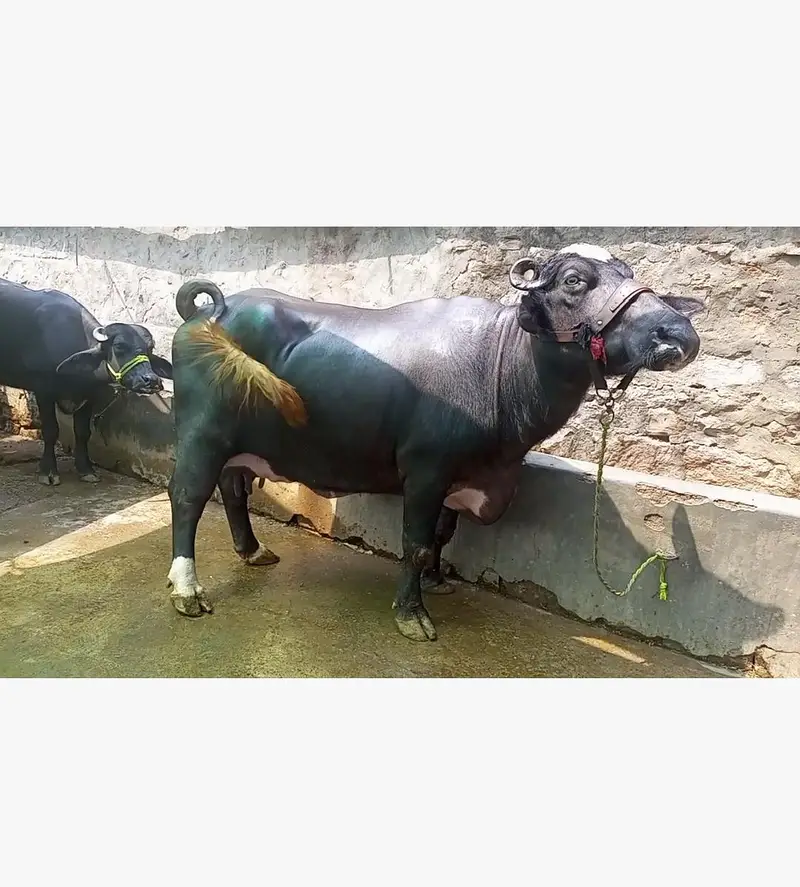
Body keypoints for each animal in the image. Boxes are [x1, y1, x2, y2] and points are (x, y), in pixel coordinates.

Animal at [0, 277, 173, 486]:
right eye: (119, 346)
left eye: (150, 348)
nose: (151, 380)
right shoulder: (43, 390)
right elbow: (50, 430)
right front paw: (48, 471)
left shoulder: (89, 396)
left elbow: (83, 432)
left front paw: (86, 469)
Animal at [166, 244, 702, 641]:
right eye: (574, 280)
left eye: (630, 272)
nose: (676, 332)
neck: (499, 366)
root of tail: (213, 309)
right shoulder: (425, 471)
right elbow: (417, 543)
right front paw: (412, 614)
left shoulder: (457, 477)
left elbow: (443, 535)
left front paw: (437, 582)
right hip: (200, 433)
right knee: (188, 498)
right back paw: (187, 591)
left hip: (235, 445)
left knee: (233, 491)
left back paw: (253, 551)